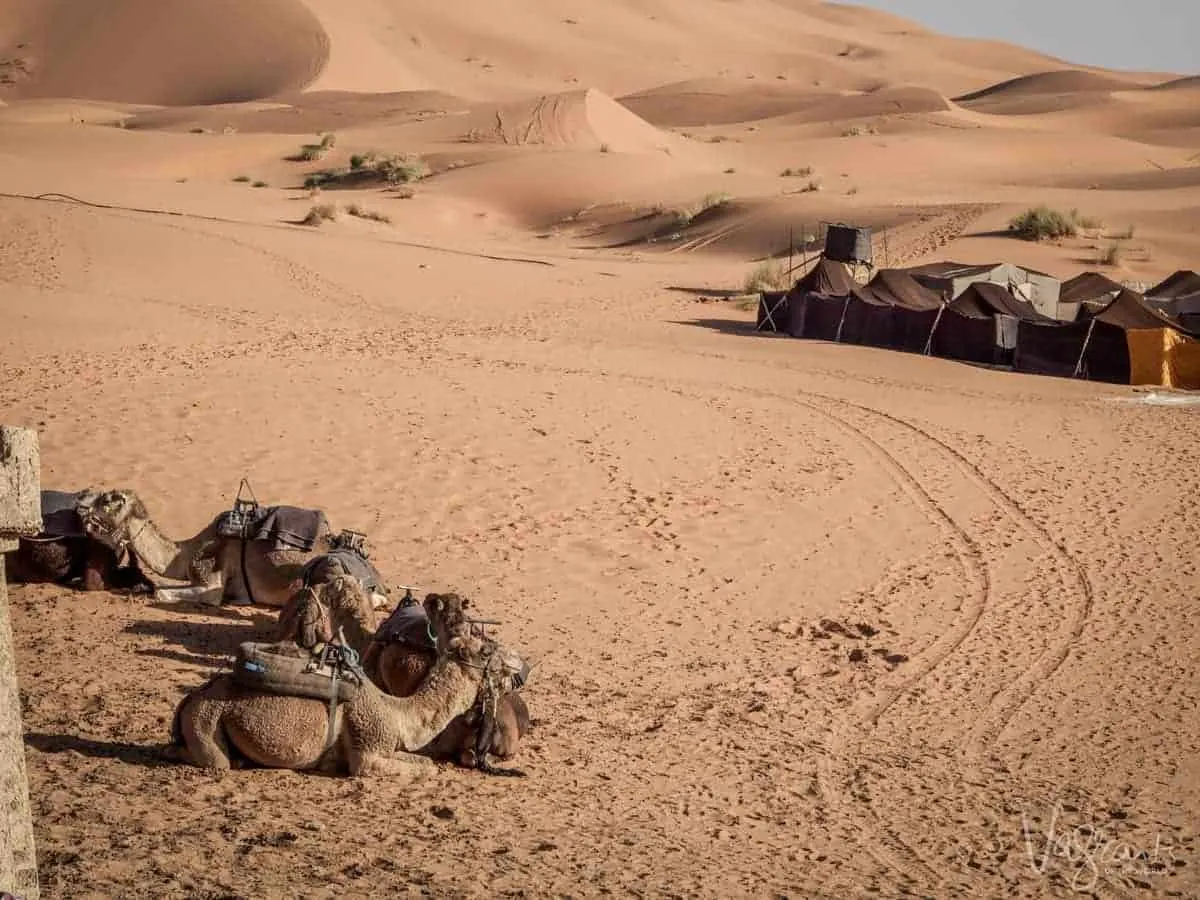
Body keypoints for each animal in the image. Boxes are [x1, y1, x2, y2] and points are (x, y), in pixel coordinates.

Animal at [168, 595, 525, 777]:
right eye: (486, 650)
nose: (518, 667)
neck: (397, 713)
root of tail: (190, 700)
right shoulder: (368, 752)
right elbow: (425, 769)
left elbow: (425, 764)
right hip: (206, 720)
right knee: (213, 760)